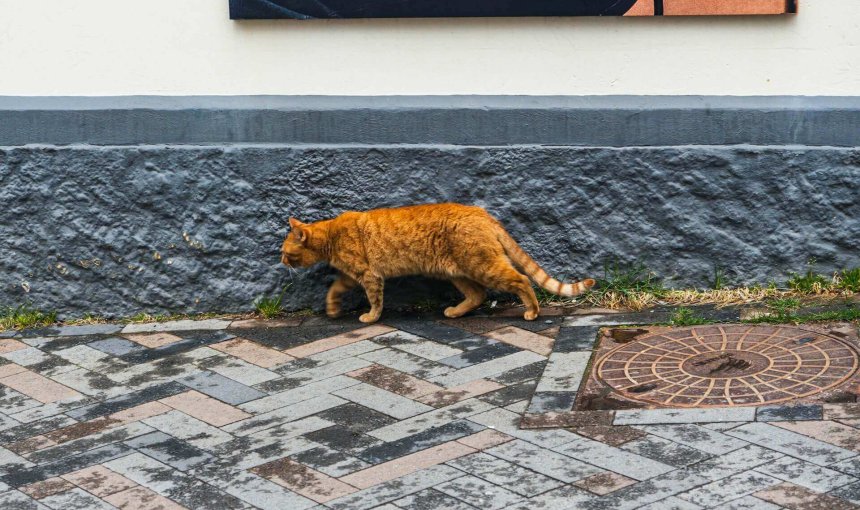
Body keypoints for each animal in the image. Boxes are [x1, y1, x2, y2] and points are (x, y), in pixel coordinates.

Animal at [278, 203, 596, 322]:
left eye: (285, 251)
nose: (280, 261)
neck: (331, 234)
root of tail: (482, 212)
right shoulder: (350, 276)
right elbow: (334, 289)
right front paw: (332, 309)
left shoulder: (369, 275)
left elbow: (375, 300)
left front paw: (371, 317)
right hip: (458, 273)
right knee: (478, 295)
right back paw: (455, 312)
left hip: (483, 266)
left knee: (522, 280)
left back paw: (532, 311)